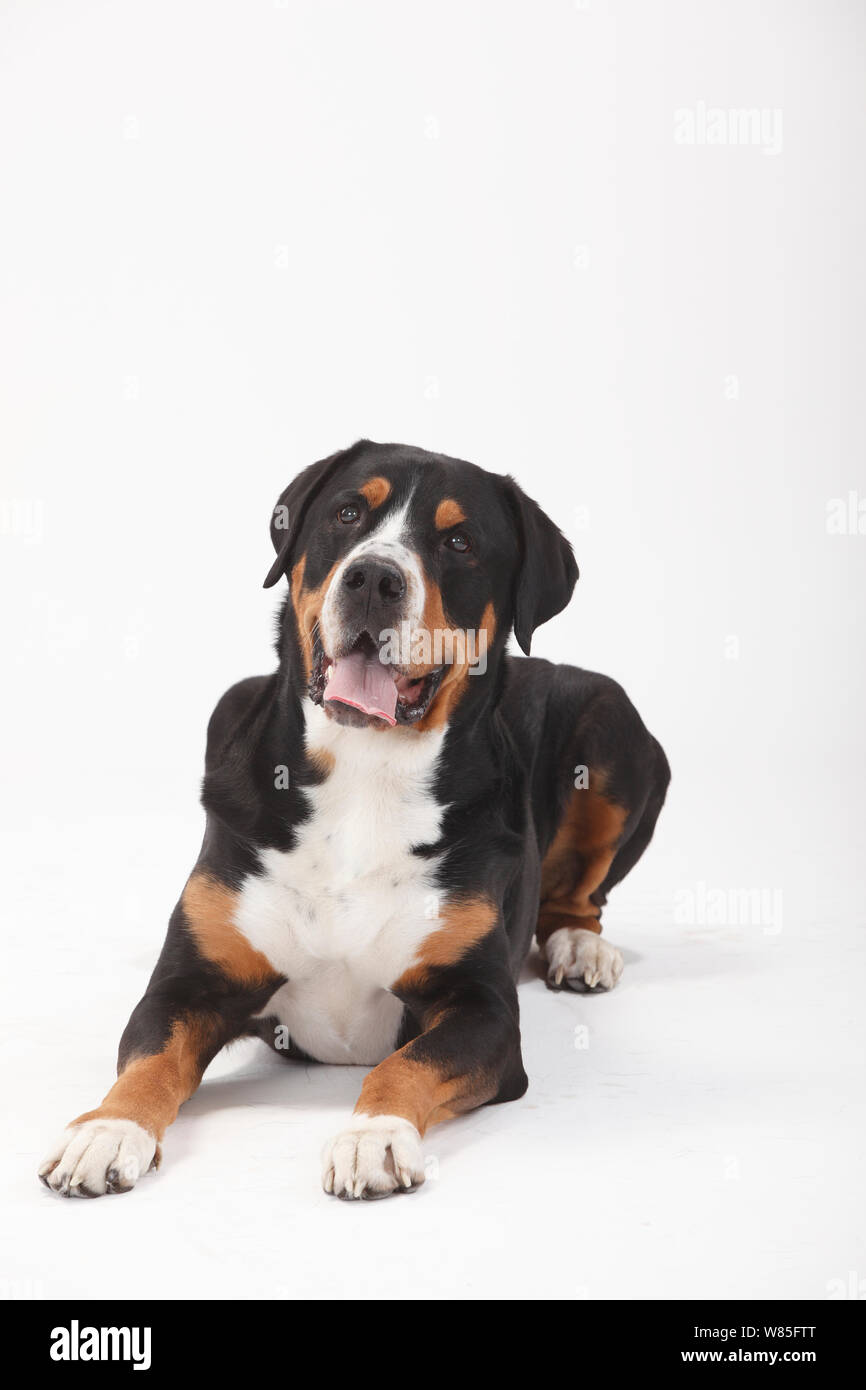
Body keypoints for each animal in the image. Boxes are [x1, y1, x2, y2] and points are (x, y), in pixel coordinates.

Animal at [38, 442, 670, 1195]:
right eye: (347, 513)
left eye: (459, 542)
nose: (374, 577)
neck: (366, 773)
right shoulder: (191, 981)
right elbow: (150, 1058)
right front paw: (106, 1129)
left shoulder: (481, 1007)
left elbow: (407, 1063)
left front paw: (375, 1137)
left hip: (614, 723)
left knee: (581, 895)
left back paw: (581, 948)